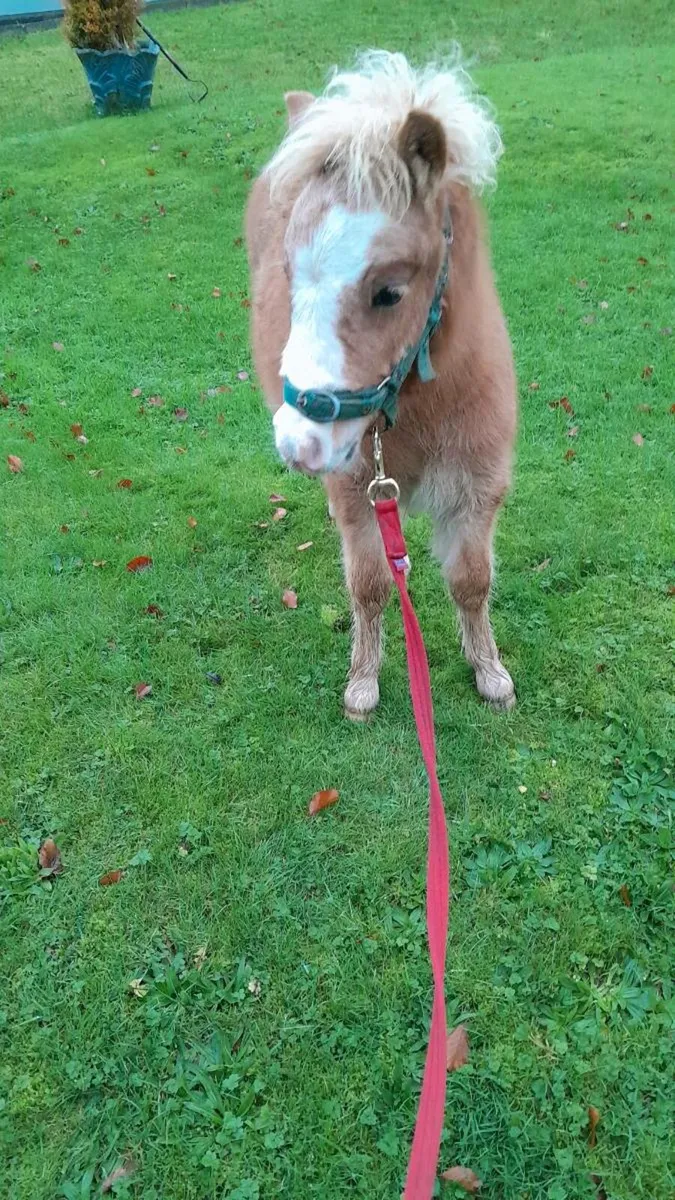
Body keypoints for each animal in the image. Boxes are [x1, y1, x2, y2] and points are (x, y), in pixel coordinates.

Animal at [245, 51, 517, 719]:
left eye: (389, 291)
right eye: (288, 275)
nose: (297, 444)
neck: (419, 412)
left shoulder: (478, 488)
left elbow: (471, 581)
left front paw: (490, 672)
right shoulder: (355, 491)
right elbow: (369, 585)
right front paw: (363, 684)